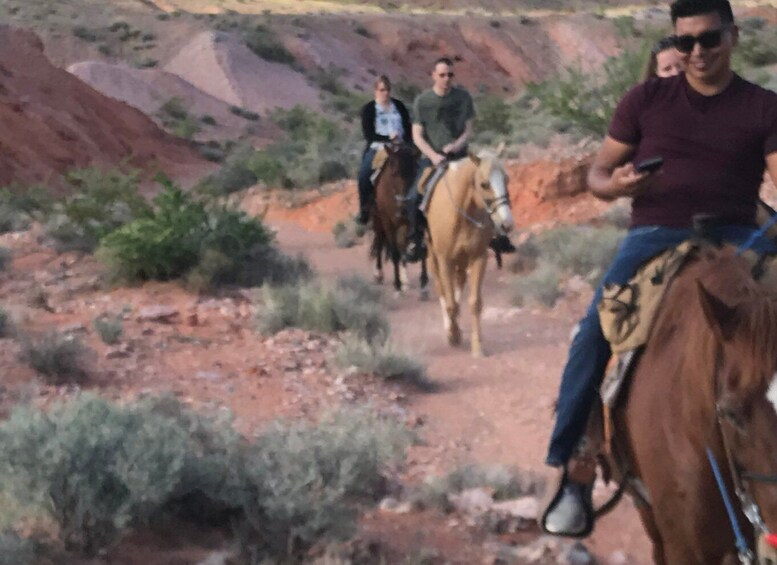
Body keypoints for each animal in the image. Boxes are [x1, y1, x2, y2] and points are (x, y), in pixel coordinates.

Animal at [372, 143, 430, 298]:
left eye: (415, 173)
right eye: (393, 174)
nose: (403, 208)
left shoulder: (419, 223)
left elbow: (422, 249)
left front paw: (424, 285)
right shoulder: (389, 224)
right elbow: (395, 254)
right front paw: (397, 286)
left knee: (402, 245)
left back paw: (405, 281)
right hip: (379, 222)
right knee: (380, 243)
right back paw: (379, 274)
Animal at [424, 148, 516, 354]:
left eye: (506, 179)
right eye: (484, 184)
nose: (506, 224)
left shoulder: (478, 258)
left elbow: (474, 302)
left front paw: (477, 346)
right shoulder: (444, 259)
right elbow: (449, 302)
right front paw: (453, 335)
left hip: (461, 260)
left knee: (458, 283)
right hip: (433, 257)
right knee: (441, 289)